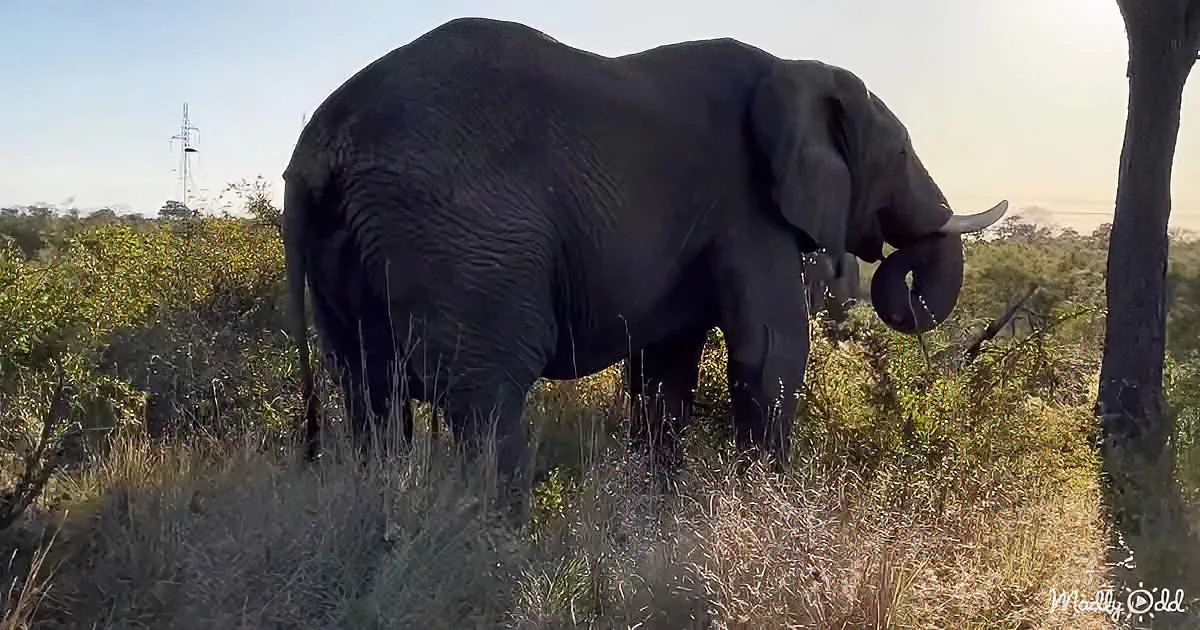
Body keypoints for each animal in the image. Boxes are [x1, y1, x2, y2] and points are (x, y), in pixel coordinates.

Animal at [282, 17, 1009, 518]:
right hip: (465, 240)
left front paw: (661, 512)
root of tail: (319, 144)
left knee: (368, 391)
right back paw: (499, 545)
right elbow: (770, 353)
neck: (796, 68)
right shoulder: (747, 206)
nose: (889, 263)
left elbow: (667, 369)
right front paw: (771, 513)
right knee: (485, 394)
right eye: (900, 153)